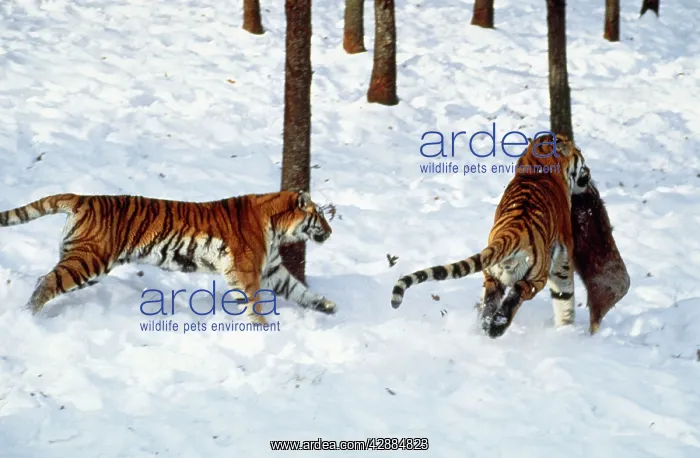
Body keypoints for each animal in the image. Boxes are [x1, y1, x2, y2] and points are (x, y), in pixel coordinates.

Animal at [0, 189, 336, 323]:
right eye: (320, 215)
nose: (331, 231)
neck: (278, 227)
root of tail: (83, 197)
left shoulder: (273, 270)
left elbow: (300, 291)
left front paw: (327, 306)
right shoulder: (247, 271)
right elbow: (255, 304)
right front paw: (261, 329)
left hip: (87, 265)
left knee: (47, 279)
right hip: (87, 261)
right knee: (46, 281)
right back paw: (26, 317)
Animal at [390, 133, 591, 338]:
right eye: (579, 153)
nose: (589, 171)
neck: (537, 163)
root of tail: (512, 232)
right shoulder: (563, 249)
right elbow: (564, 292)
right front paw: (567, 326)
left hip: (493, 276)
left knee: (490, 303)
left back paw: (485, 326)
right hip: (536, 277)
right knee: (517, 293)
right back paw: (497, 327)